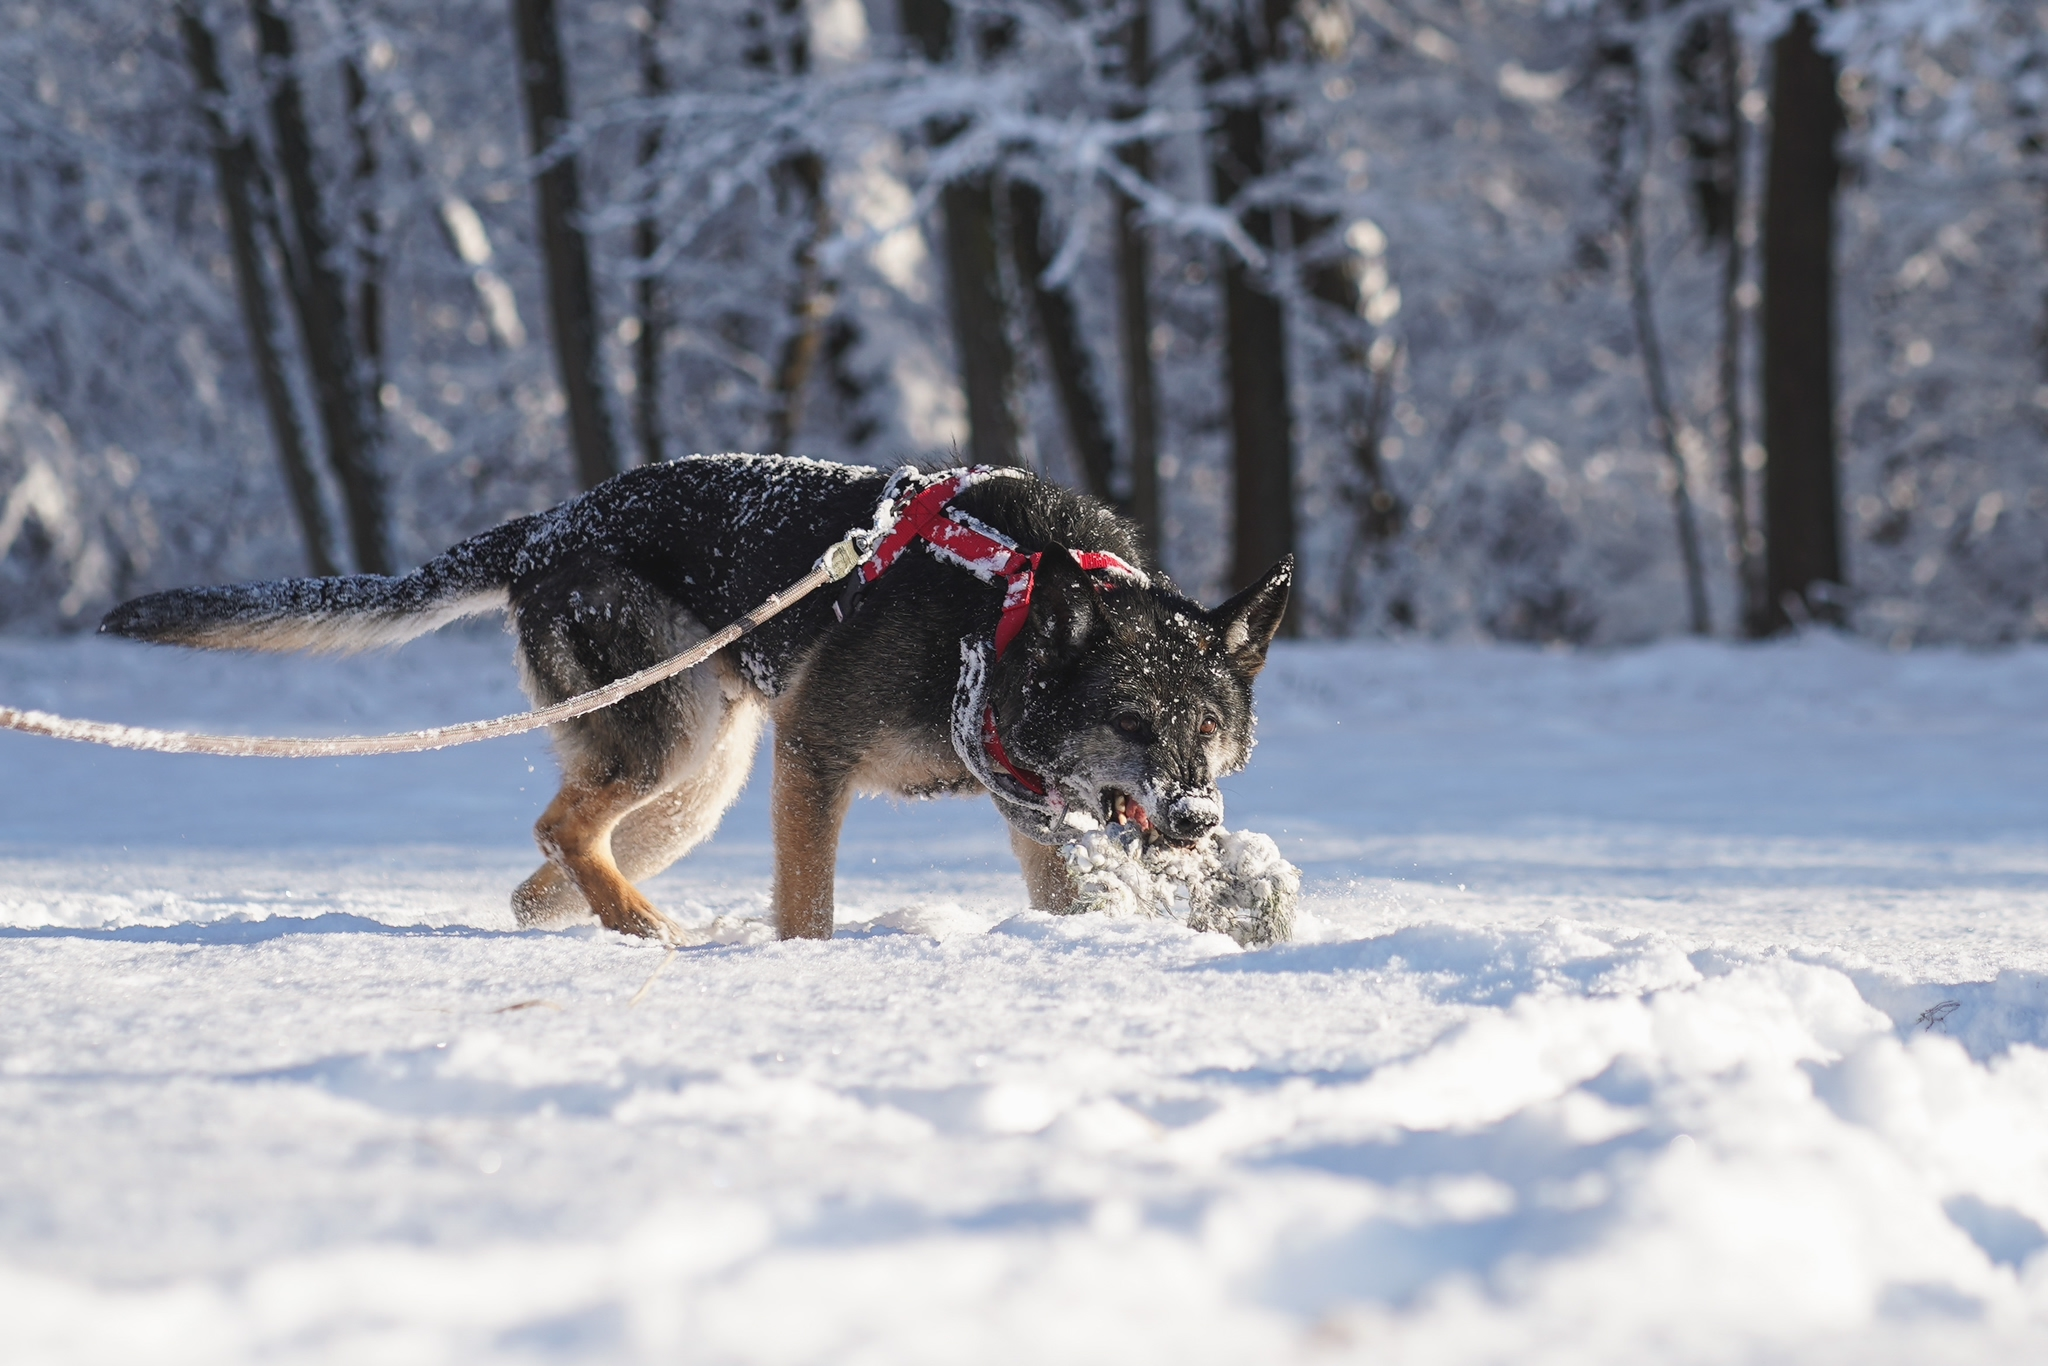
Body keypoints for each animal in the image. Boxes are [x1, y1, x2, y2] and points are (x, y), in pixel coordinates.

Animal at [103, 456, 1286, 942]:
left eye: (1207, 730)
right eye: (1128, 721)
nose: (1196, 820)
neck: (996, 613)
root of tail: (545, 527)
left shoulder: (1034, 811)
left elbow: (1069, 894)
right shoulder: (813, 755)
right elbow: (807, 907)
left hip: (698, 775)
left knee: (548, 864)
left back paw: (596, 919)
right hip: (674, 740)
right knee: (562, 824)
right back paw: (637, 925)